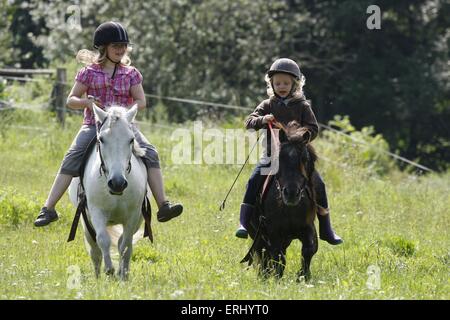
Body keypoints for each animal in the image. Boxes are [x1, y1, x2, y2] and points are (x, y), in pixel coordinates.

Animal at [68, 105, 148, 280]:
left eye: (131, 139)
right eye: (102, 139)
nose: (117, 183)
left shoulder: (133, 216)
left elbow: (125, 245)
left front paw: (122, 275)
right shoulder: (96, 212)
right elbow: (103, 240)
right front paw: (109, 271)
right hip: (85, 222)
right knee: (95, 250)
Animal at [243, 121, 320, 282]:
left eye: (304, 159)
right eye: (279, 159)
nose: (291, 193)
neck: (289, 208)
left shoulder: (308, 227)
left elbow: (309, 249)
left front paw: (303, 276)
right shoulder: (273, 232)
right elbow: (278, 257)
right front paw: (277, 278)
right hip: (257, 236)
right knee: (263, 255)